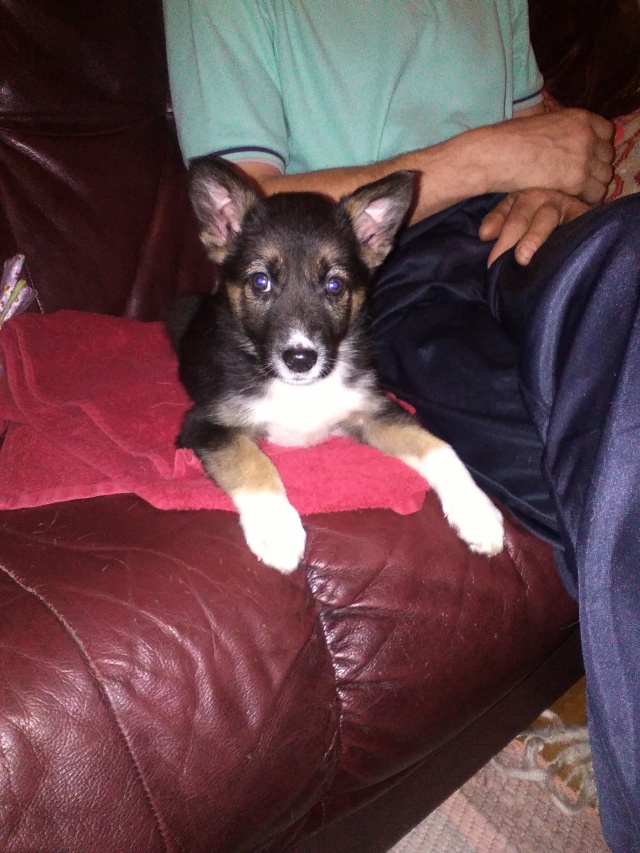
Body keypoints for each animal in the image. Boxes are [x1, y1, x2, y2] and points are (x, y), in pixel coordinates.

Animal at [167, 157, 504, 573]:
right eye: (260, 282)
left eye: (334, 286)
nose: (300, 359)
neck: (299, 390)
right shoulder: (205, 422)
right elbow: (251, 461)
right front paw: (277, 531)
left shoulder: (373, 409)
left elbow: (438, 446)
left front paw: (477, 512)